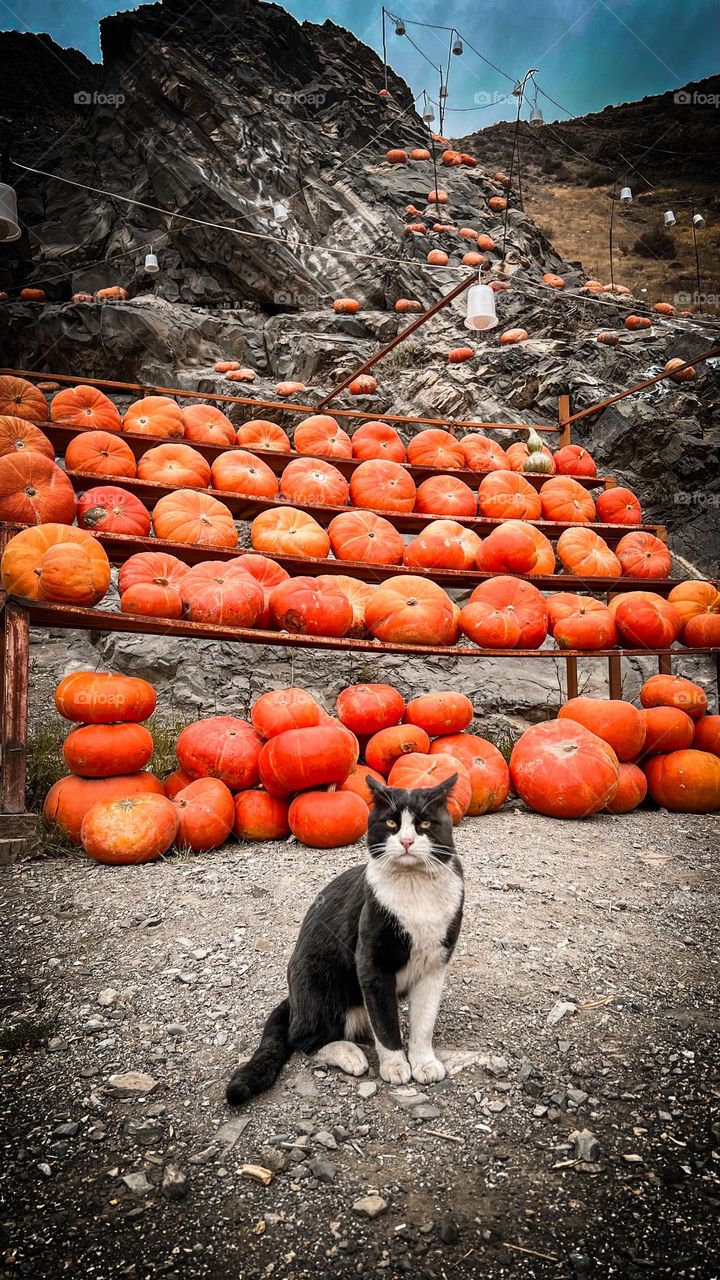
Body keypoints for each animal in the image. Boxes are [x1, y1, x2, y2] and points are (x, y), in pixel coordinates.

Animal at [224, 768, 461, 1100]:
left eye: (424, 824)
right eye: (391, 823)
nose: (406, 841)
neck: (414, 890)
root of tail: (293, 1000)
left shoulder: (435, 964)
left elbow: (424, 1021)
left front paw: (424, 1062)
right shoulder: (371, 963)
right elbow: (385, 1023)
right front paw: (395, 1066)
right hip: (320, 981)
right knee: (303, 1038)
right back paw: (349, 1054)